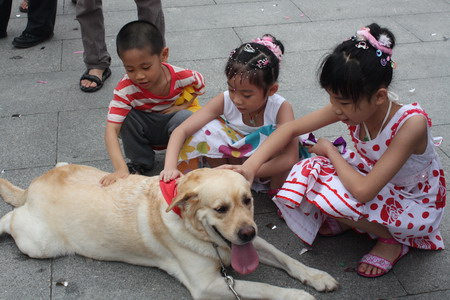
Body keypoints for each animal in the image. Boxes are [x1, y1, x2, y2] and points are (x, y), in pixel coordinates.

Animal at [0, 164, 338, 300]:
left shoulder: (252, 245)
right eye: (220, 208)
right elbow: (263, 288)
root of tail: (33, 186)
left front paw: (316, 276)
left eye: (247, 200)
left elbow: (286, 258)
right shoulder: (208, 286)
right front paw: (297, 295)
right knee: (10, 218)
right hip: (37, 242)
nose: (247, 233)